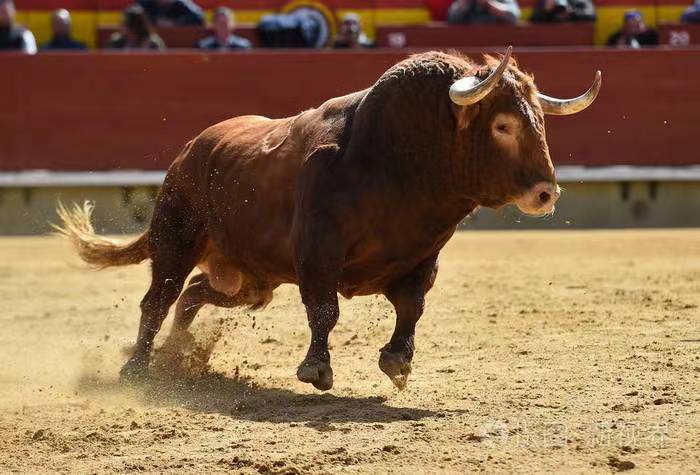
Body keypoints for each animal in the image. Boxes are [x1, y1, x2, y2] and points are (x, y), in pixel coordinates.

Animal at [57, 47, 600, 390]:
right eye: (504, 125)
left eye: (540, 122)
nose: (546, 192)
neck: (399, 162)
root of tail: (190, 151)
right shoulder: (319, 248)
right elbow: (324, 309)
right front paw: (316, 371)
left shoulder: (423, 255)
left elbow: (412, 307)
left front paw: (397, 363)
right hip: (177, 237)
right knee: (159, 298)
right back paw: (138, 368)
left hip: (249, 281)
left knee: (194, 293)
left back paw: (178, 354)